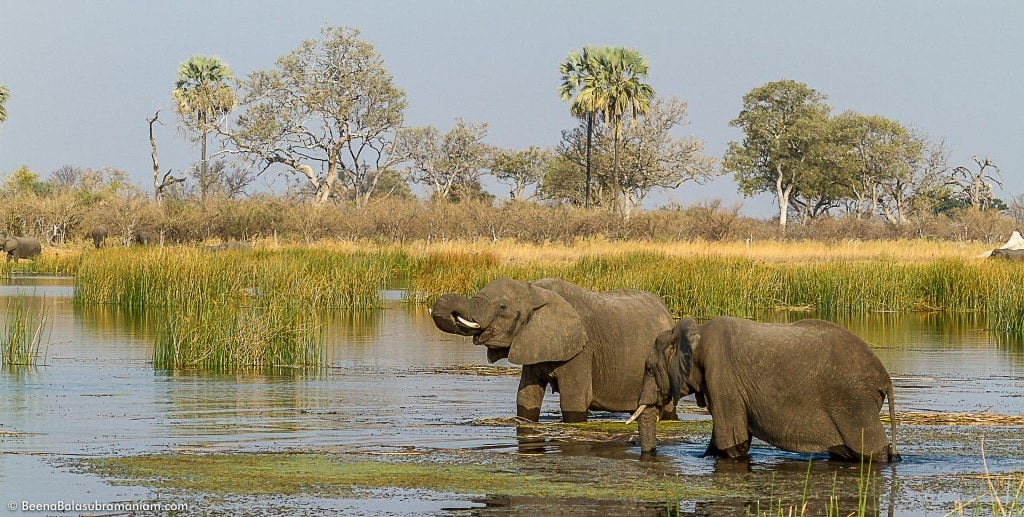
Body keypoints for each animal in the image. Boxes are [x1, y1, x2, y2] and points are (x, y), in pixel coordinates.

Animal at [626, 315, 901, 462]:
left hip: (854, 403)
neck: (695, 332)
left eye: (649, 370)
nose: (649, 454)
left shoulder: (721, 378)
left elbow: (731, 442)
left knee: (872, 450)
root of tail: (885, 378)